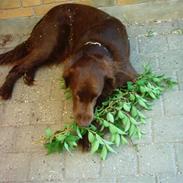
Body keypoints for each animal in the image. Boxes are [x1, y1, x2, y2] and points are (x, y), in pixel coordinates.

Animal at [0, 3, 137, 127]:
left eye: (95, 96)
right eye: (76, 94)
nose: (83, 124)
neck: (98, 45)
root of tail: (44, 17)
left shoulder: (131, 80)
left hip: (56, 52)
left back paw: (28, 75)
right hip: (49, 46)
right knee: (18, 66)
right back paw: (6, 89)